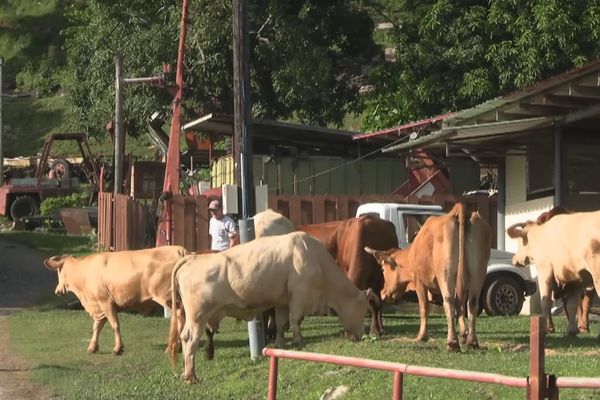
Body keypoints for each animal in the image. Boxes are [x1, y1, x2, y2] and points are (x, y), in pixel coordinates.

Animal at [43, 245, 189, 354]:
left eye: (59, 272)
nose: (57, 290)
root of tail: (180, 250)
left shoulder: (106, 302)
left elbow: (114, 324)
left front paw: (118, 348)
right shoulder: (100, 306)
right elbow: (96, 326)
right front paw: (92, 347)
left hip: (169, 298)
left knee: (178, 317)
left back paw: (172, 347)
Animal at [168, 231, 376, 384]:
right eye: (364, 310)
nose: (361, 335)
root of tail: (192, 258)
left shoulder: (283, 301)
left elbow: (282, 322)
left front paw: (280, 344)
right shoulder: (299, 294)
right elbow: (296, 320)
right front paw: (299, 342)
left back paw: (187, 374)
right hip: (197, 315)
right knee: (190, 339)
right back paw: (191, 376)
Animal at [364, 205, 490, 352]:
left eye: (383, 270)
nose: (382, 293)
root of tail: (459, 211)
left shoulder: (419, 282)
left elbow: (424, 308)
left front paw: (422, 336)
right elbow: (460, 306)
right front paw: (464, 334)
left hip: (445, 273)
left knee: (449, 302)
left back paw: (452, 342)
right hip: (478, 271)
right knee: (472, 303)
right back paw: (472, 341)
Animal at [506, 209, 600, 338]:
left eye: (519, 241)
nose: (514, 259)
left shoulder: (545, 271)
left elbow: (545, 301)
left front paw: (544, 329)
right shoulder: (574, 279)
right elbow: (572, 305)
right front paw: (571, 330)